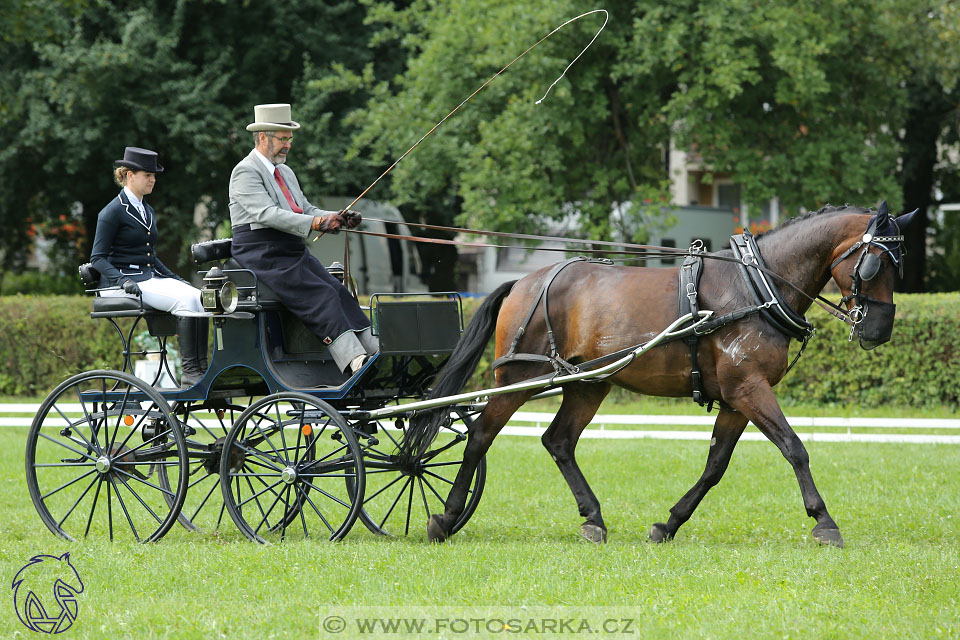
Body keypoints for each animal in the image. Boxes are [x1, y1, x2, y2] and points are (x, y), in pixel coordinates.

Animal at [402, 202, 920, 548]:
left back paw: (593, 519)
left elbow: (715, 466)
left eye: (899, 264)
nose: (880, 330)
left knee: (559, 442)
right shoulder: (749, 389)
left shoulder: (736, 398)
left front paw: (668, 523)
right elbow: (795, 448)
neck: (755, 286)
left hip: (590, 384)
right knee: (481, 435)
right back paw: (444, 519)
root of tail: (524, 282)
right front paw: (824, 521)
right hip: (515, 379)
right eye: (873, 264)